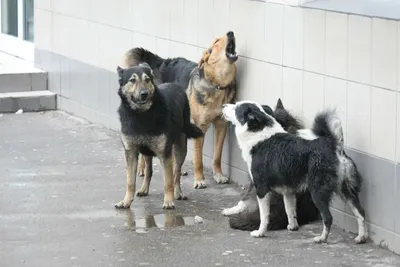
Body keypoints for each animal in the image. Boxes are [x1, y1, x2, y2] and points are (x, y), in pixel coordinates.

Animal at [115, 63, 203, 210]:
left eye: (147, 80)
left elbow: (168, 181)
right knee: (149, 171)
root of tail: (175, 85)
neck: (142, 115)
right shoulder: (131, 153)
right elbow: (130, 182)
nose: (144, 94)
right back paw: (144, 189)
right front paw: (126, 201)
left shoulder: (165, 154)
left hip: (180, 149)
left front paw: (168, 201)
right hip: (146, 152)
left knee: (176, 173)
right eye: (132, 80)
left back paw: (178, 192)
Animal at [123, 31, 238, 191]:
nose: (230, 32)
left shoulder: (222, 125)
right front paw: (199, 179)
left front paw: (218, 175)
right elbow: (198, 158)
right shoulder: (200, 127)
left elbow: (217, 155)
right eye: (216, 42)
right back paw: (142, 168)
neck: (216, 84)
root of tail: (162, 62)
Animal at [222, 101, 368, 245]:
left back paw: (322, 238)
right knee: (360, 212)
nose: (223, 106)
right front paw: (293, 226)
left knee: (328, 217)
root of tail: (333, 145)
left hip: (317, 192)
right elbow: (290, 210)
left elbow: (264, 216)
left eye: (236, 108)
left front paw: (260, 232)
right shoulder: (288, 190)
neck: (259, 134)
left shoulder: (261, 189)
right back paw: (361, 237)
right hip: (346, 190)